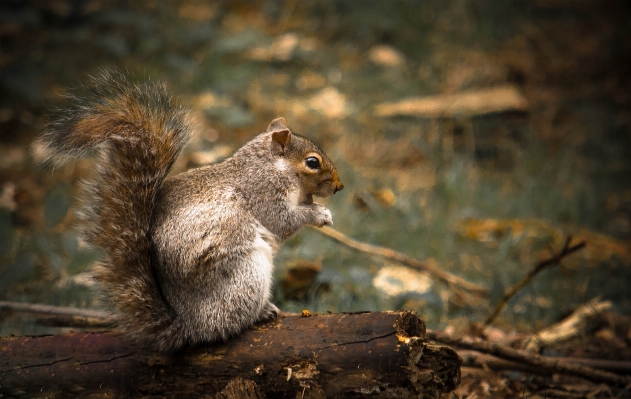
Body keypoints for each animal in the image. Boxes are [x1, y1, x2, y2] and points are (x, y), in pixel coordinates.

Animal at [38, 69, 346, 354]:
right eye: (312, 162)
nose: (339, 187)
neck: (269, 167)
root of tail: (189, 326)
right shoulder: (264, 196)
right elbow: (283, 220)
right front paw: (319, 214)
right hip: (246, 275)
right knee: (229, 322)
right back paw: (261, 312)